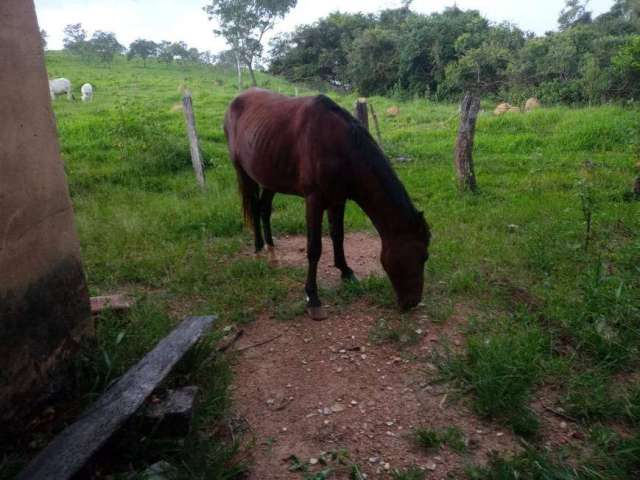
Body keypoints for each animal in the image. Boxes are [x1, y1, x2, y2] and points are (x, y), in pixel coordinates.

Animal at [224, 89, 430, 318]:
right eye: (422, 256)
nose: (412, 303)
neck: (339, 147)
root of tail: (235, 101)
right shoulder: (314, 201)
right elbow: (314, 248)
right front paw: (312, 297)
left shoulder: (338, 200)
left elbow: (338, 236)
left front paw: (346, 272)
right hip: (244, 173)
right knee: (253, 206)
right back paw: (259, 248)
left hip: (270, 176)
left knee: (264, 209)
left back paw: (272, 252)